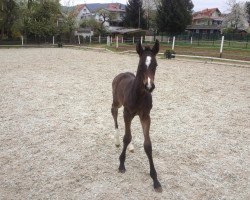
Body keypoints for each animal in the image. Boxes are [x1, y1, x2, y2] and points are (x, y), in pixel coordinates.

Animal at [111, 40, 162, 192]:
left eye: (155, 65)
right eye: (140, 65)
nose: (149, 86)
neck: (139, 95)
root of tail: (121, 74)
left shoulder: (145, 116)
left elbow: (148, 145)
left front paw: (155, 179)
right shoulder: (126, 113)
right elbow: (126, 137)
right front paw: (121, 164)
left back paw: (131, 147)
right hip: (117, 103)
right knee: (113, 112)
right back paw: (117, 140)